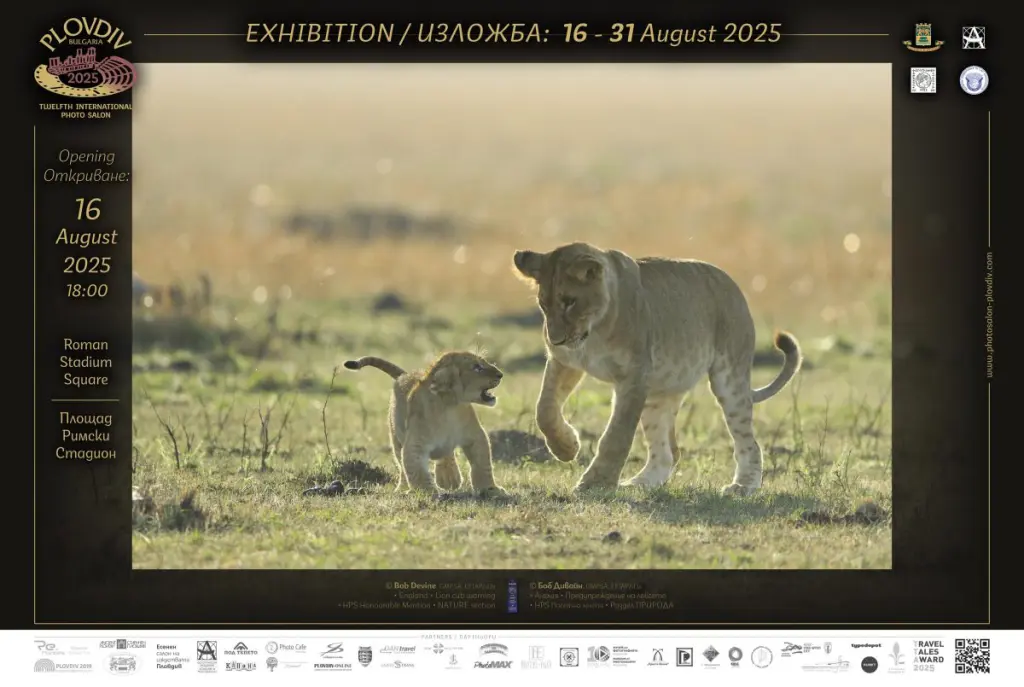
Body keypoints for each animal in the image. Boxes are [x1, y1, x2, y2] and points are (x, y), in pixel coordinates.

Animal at [343, 351, 508, 497]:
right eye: (476, 367)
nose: (500, 374)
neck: (450, 406)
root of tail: (405, 374)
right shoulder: (415, 444)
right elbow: (415, 469)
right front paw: (426, 491)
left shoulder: (475, 436)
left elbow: (483, 465)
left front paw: (491, 489)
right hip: (396, 437)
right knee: (401, 464)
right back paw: (403, 488)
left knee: (446, 452)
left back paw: (449, 478)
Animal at [512, 241, 802, 496]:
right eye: (543, 304)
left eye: (570, 301)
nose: (554, 339)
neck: (594, 333)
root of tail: (733, 285)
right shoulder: (564, 362)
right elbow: (544, 409)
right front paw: (567, 448)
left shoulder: (633, 376)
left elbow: (616, 435)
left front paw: (595, 484)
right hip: (658, 393)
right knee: (668, 452)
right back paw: (638, 484)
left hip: (728, 378)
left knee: (749, 441)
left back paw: (743, 486)